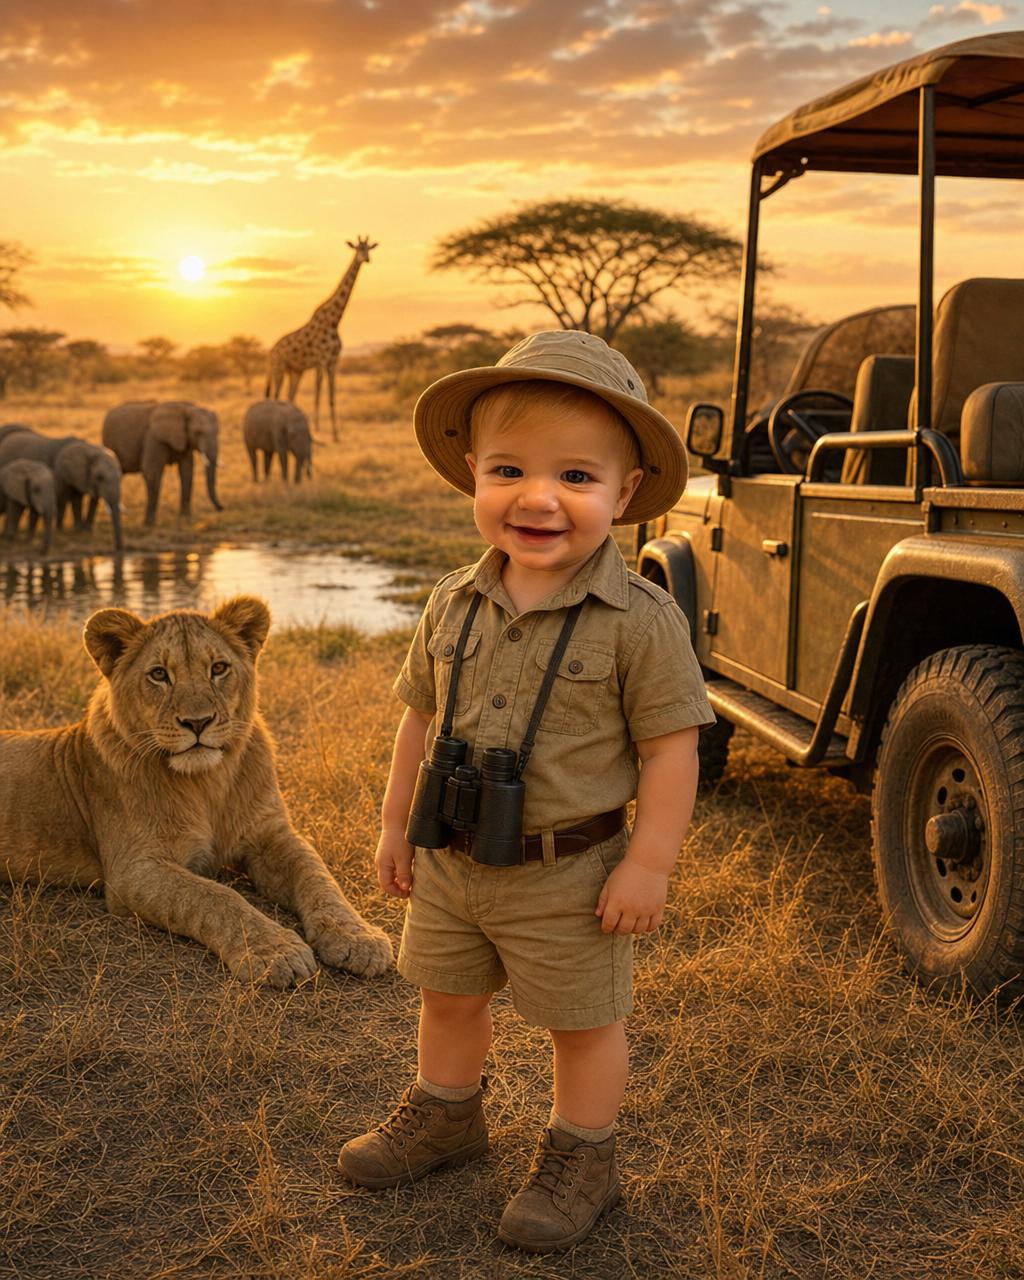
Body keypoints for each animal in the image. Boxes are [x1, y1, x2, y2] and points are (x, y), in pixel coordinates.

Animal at [0, 595, 393, 987]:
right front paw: (276, 951)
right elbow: (215, 896)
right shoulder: (133, 870)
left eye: (218, 668)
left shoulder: (273, 835)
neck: (207, 783)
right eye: (159, 674)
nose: (198, 722)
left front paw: (358, 938)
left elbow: (318, 876)